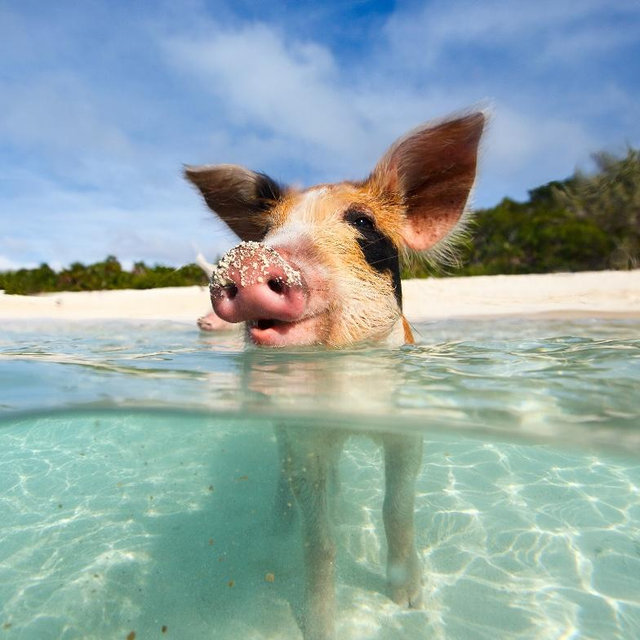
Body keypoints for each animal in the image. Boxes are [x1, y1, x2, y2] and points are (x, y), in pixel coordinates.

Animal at [185, 111, 485, 639]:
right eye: (266, 231)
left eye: (362, 221)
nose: (250, 258)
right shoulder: (306, 436)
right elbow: (318, 537)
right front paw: (319, 627)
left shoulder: (407, 431)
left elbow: (397, 509)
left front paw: (408, 602)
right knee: (284, 472)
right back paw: (280, 522)